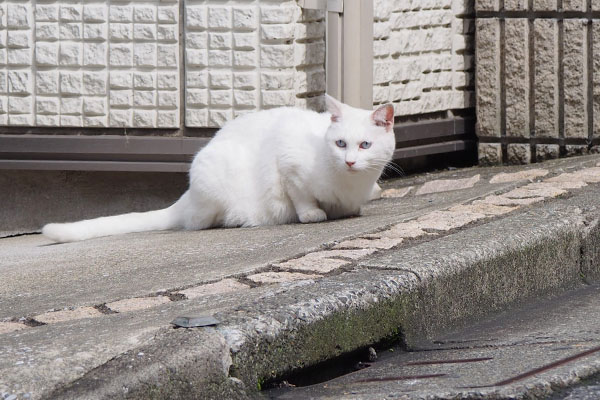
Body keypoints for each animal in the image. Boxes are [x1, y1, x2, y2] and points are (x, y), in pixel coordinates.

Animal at [43, 95, 398, 242]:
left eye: (365, 146)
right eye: (340, 143)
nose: (349, 161)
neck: (348, 185)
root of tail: (188, 195)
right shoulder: (287, 161)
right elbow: (300, 196)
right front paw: (312, 214)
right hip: (214, 177)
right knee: (197, 223)